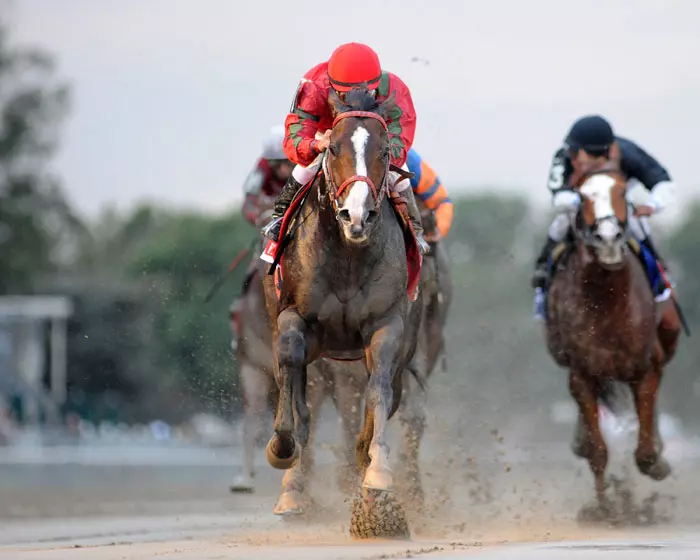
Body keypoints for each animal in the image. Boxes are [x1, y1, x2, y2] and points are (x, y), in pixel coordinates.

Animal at [262, 89, 422, 536]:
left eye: (384, 151)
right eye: (332, 147)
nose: (357, 215)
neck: (349, 255)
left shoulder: (387, 326)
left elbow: (378, 393)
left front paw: (377, 473)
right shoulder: (294, 318)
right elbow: (292, 386)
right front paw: (282, 447)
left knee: (387, 395)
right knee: (301, 396)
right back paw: (292, 491)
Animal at [544, 158, 680, 508]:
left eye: (621, 190)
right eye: (582, 195)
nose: (607, 238)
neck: (606, 304)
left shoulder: (644, 368)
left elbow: (645, 454)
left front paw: (657, 463)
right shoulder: (583, 373)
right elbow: (598, 451)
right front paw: (604, 509)